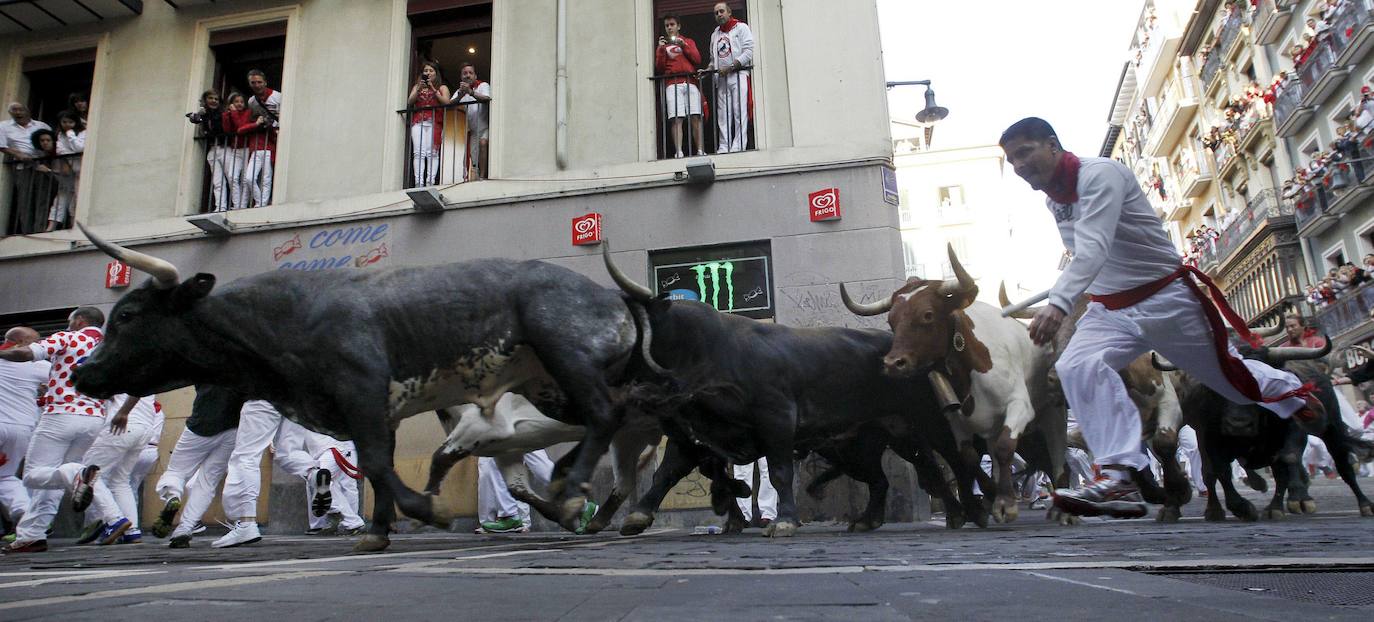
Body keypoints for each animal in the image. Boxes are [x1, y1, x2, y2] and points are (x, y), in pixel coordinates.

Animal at [76, 223, 648, 551]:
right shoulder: (377, 411)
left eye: (127, 316)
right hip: (549, 385)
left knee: (604, 413)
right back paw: (573, 491)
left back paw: (573, 491)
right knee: (609, 417)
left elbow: (376, 464)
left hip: (567, 356)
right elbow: (380, 468)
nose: (83, 372)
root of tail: (611, 297)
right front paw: (377, 530)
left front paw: (426, 511)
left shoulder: (363, 394)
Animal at [835, 244, 1060, 521]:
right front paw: (990, 494)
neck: (970, 372)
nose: (892, 363)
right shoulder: (955, 420)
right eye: (891, 320)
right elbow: (968, 457)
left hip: (1051, 414)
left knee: (1056, 457)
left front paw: (1005, 502)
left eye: (928, 315)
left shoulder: (1020, 406)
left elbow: (1006, 446)